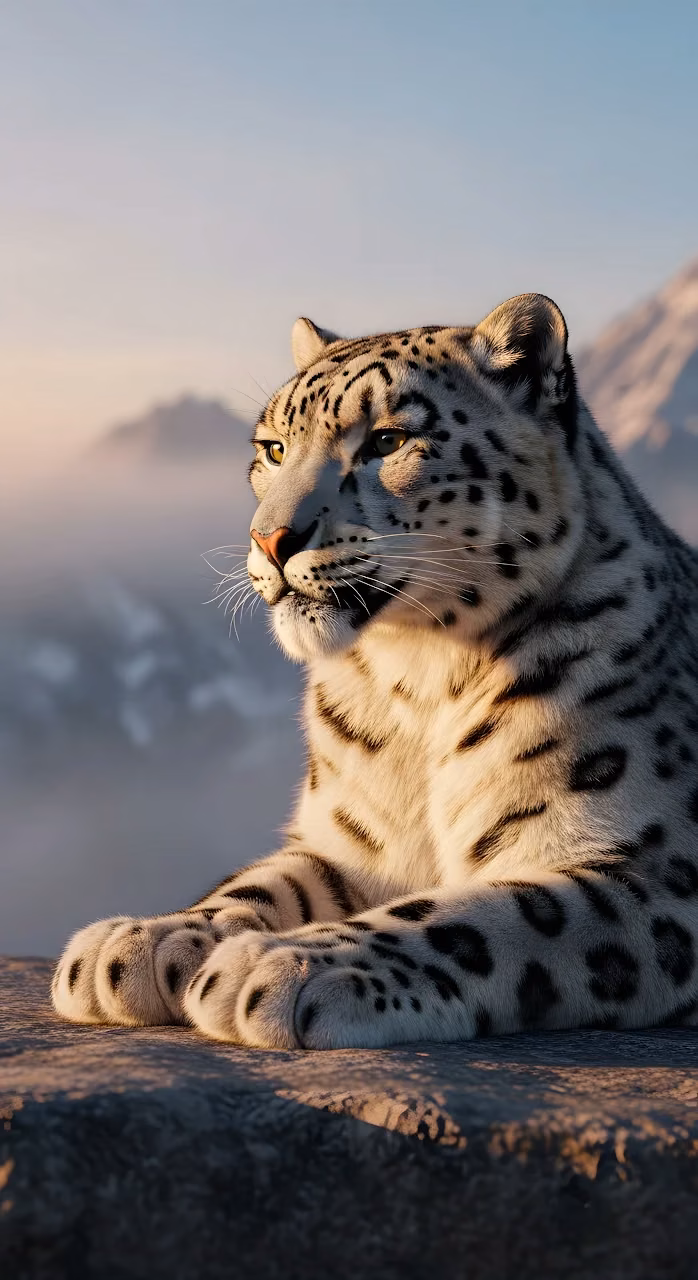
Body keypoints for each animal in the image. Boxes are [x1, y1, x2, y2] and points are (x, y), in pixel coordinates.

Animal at [52, 292, 698, 1050]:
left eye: (387, 442)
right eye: (273, 449)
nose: (269, 539)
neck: (420, 685)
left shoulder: (650, 866)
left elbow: (484, 916)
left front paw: (281, 965)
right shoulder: (349, 841)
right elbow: (257, 882)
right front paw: (139, 942)